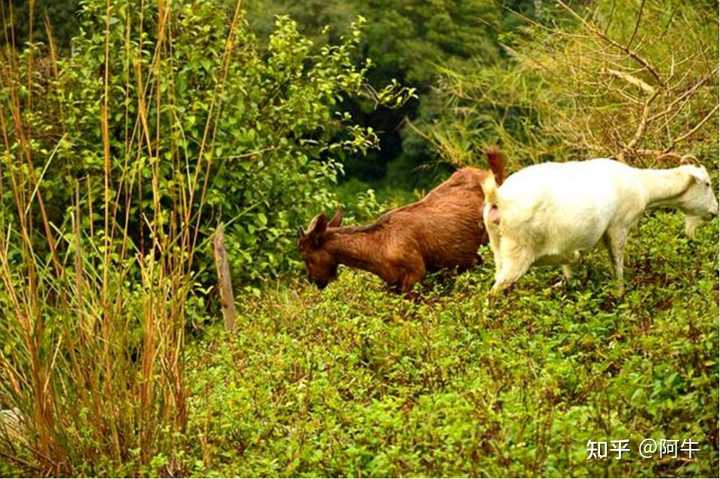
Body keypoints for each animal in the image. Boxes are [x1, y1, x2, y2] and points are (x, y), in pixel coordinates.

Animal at [480, 159, 716, 294]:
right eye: (707, 184)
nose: (714, 212)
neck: (643, 186)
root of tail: (498, 198)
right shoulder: (618, 227)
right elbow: (617, 263)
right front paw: (620, 294)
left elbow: (569, 270)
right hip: (518, 251)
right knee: (495, 291)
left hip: (497, 248)